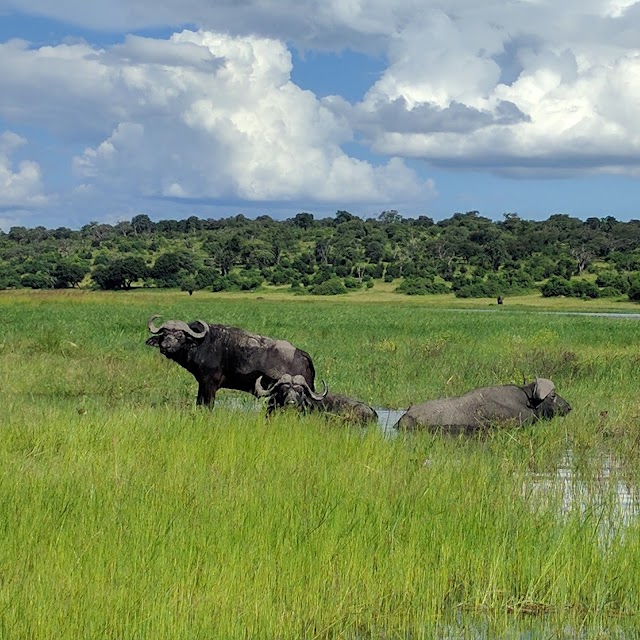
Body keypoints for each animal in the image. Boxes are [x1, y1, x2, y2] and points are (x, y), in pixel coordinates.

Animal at [145, 316, 316, 410]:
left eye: (180, 335)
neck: (202, 343)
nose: (165, 346)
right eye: (164, 333)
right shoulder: (202, 383)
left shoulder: (210, 384)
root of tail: (301, 353)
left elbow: (207, 405)